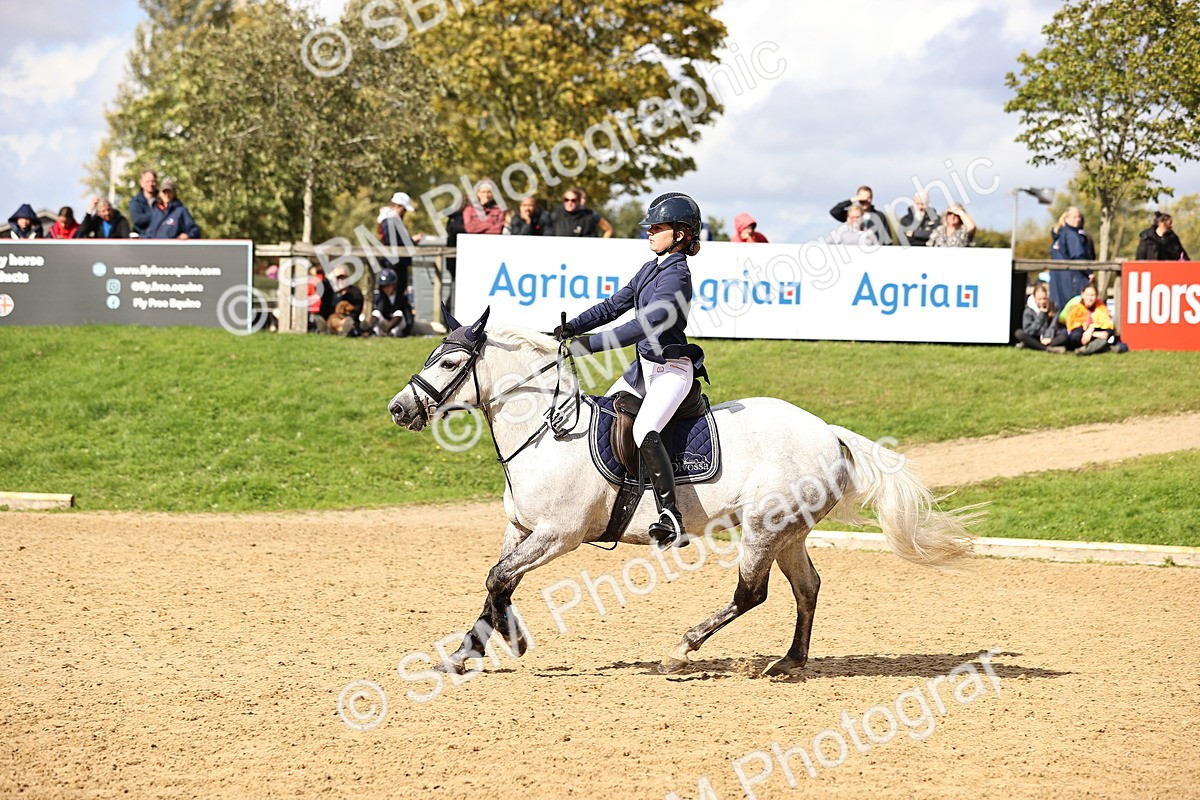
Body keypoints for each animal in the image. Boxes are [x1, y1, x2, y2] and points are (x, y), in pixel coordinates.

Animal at [388, 307, 978, 677]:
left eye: (448, 361)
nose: (398, 409)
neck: (546, 431)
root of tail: (827, 431)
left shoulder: (559, 534)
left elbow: (498, 579)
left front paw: (512, 641)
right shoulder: (521, 529)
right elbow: (496, 583)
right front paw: (466, 653)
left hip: (763, 528)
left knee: (752, 594)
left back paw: (682, 649)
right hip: (789, 532)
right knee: (806, 587)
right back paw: (789, 662)